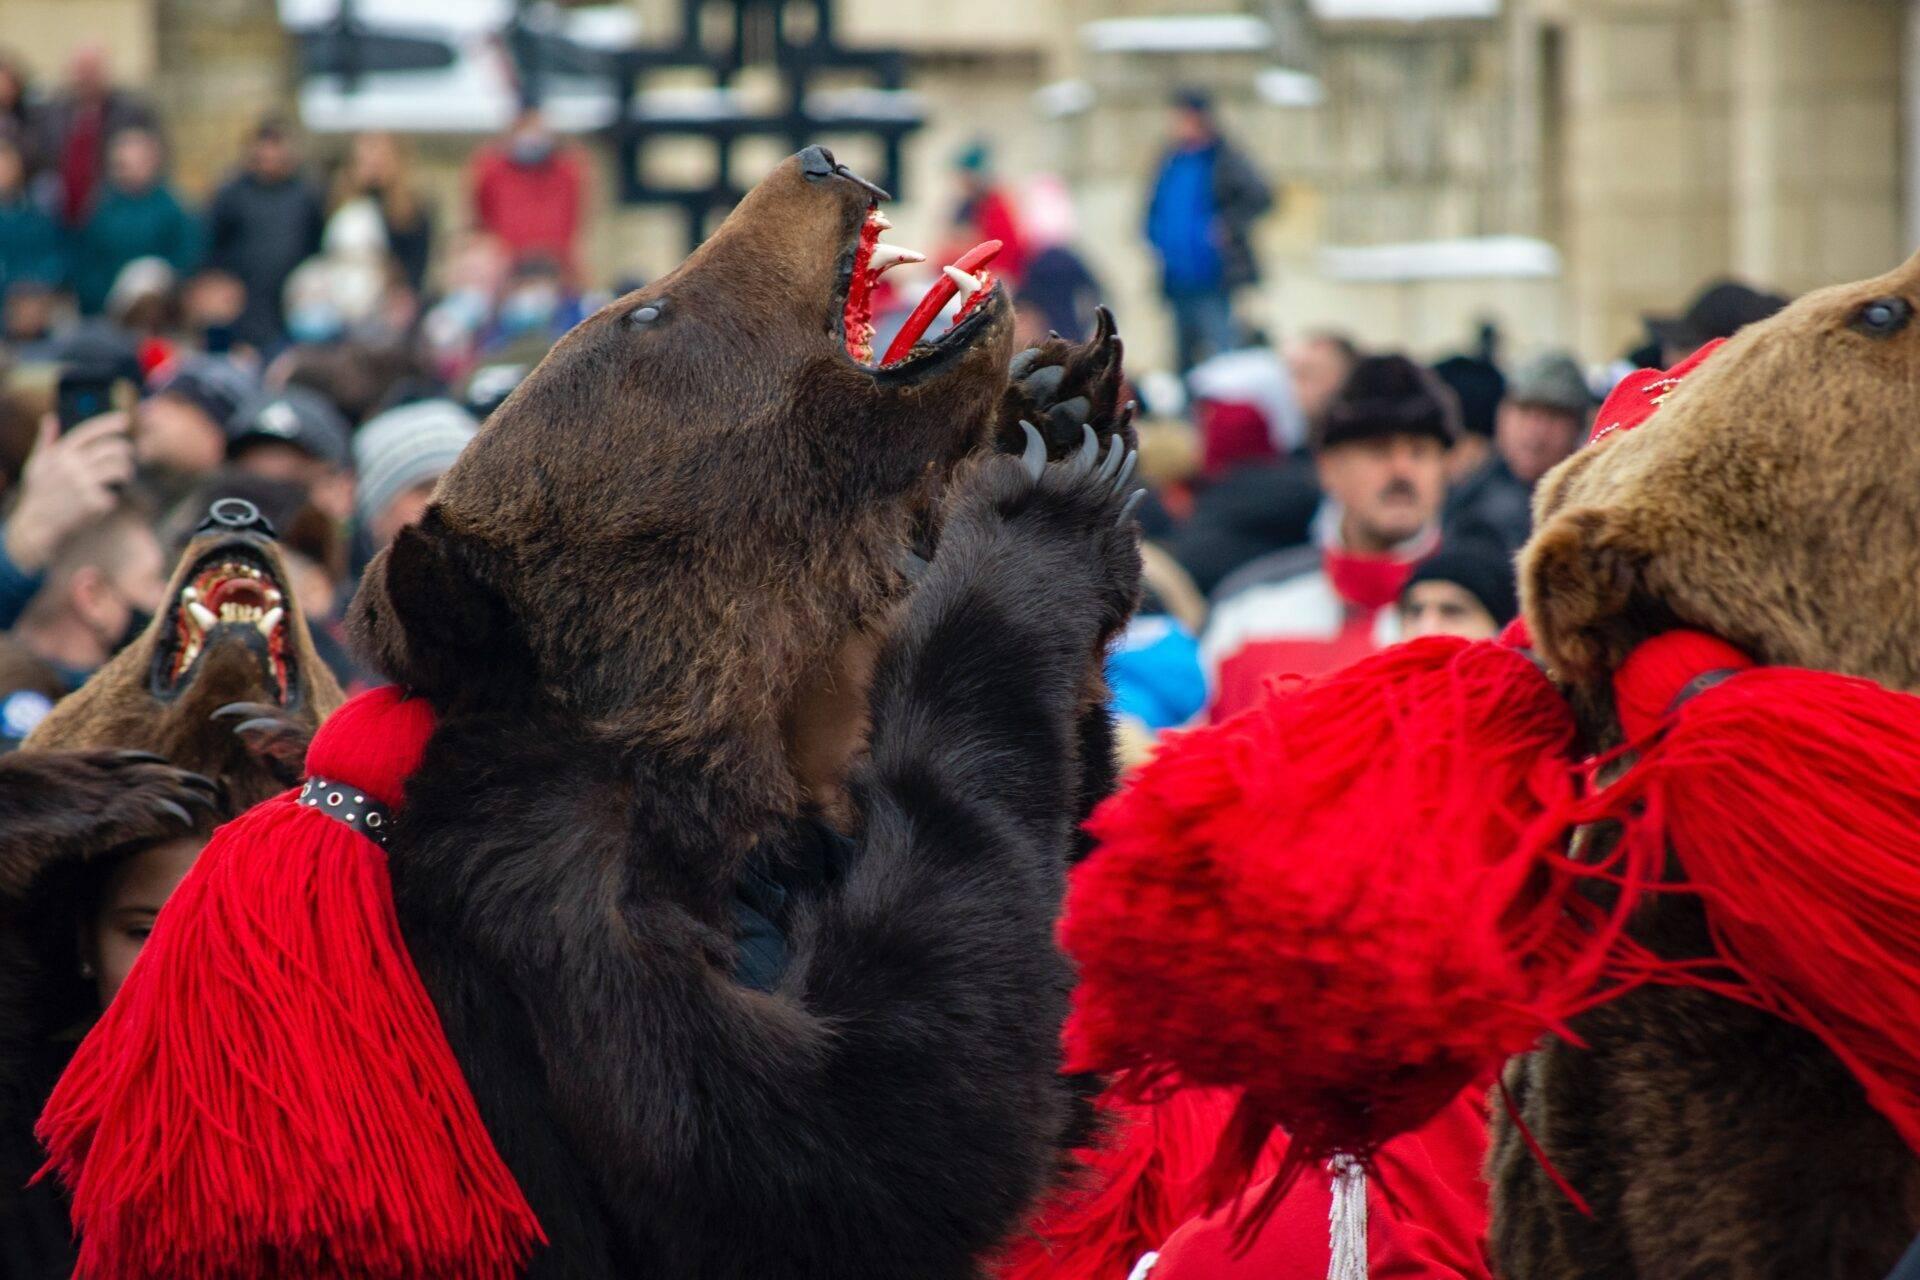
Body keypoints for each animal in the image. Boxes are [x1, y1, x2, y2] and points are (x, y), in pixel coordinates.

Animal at [337, 146, 1141, 1278]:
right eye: (646, 311)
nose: (816, 159)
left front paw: (1063, 398)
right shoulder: (571, 932)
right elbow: (867, 1122)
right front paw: (1025, 505)